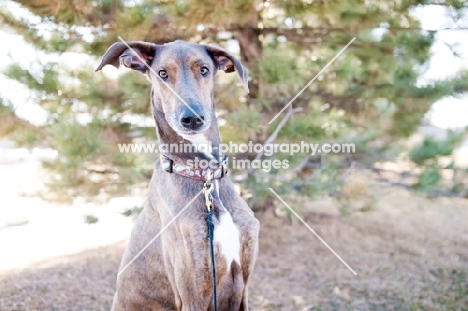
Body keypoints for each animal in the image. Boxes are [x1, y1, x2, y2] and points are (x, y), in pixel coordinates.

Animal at [96, 40, 260, 310]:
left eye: (204, 69)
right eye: (163, 73)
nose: (192, 118)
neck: (204, 177)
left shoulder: (243, 287)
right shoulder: (193, 294)